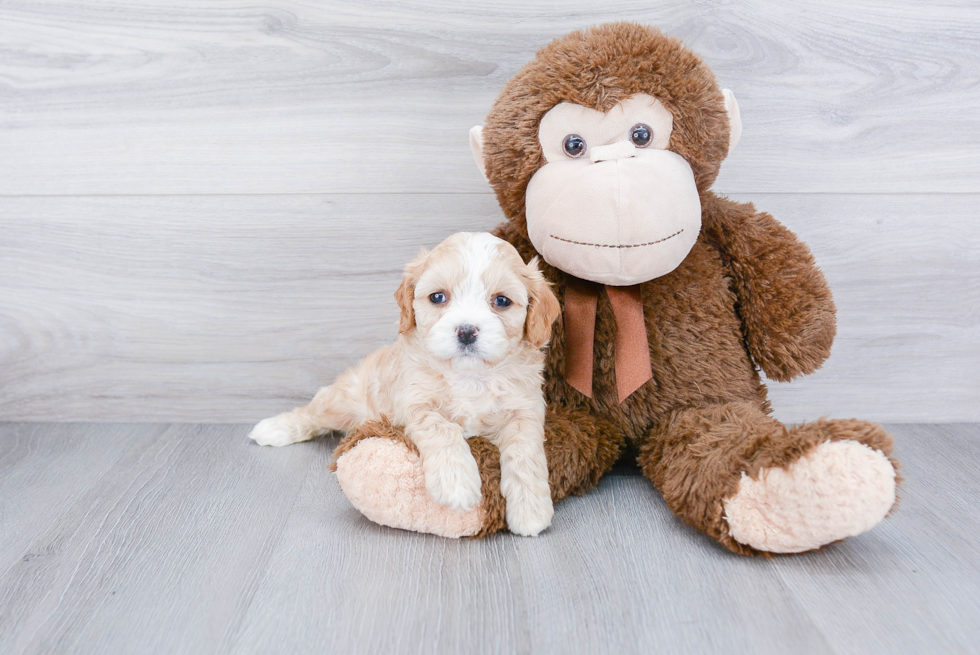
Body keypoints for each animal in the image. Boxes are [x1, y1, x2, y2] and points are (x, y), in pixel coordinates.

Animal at [249, 233, 564, 536]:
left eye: (502, 301)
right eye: (438, 297)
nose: (466, 331)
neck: (469, 377)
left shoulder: (525, 411)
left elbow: (525, 453)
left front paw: (531, 511)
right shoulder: (414, 401)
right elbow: (442, 428)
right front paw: (456, 483)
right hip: (344, 399)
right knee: (314, 410)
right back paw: (275, 428)